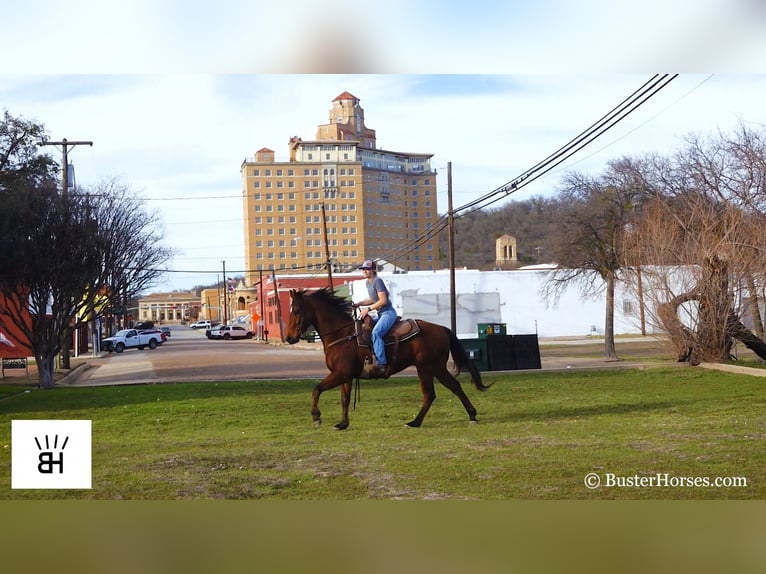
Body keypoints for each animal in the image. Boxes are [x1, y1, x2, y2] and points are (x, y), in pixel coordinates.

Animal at [284, 288, 492, 432]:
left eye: (296, 310)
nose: (289, 337)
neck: (342, 334)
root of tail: (442, 329)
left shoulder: (340, 373)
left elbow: (317, 389)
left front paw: (316, 417)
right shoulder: (346, 376)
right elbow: (344, 399)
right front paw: (342, 424)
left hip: (430, 368)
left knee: (438, 392)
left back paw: (419, 422)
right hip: (430, 368)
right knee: (443, 390)